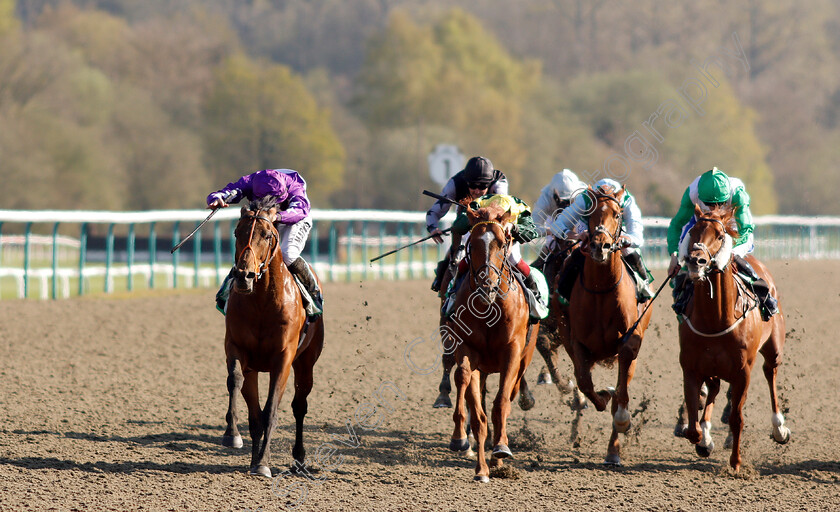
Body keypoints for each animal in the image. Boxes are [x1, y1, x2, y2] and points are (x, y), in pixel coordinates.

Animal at [220, 198, 324, 478]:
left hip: (306, 363)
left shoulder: (283, 359)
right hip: (256, 368)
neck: (262, 302)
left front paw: (264, 463)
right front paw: (232, 436)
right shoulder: (237, 348)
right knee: (255, 411)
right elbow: (235, 382)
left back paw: (298, 458)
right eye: (237, 232)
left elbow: (271, 412)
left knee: (299, 406)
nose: (243, 276)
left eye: (267, 235)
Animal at [450, 203, 536, 480]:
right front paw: (480, 468)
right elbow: (477, 411)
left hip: (524, 360)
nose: (486, 285)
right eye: (474, 243)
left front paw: (500, 449)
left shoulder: (512, 353)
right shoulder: (468, 349)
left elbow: (501, 405)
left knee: (510, 395)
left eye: (501, 242)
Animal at [560, 186, 652, 466]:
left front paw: (621, 419)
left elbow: (621, 394)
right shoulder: (577, 343)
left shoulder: (629, 343)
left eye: (617, 213)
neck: (601, 290)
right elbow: (585, 383)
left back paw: (613, 451)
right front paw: (603, 395)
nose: (601, 245)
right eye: (588, 214)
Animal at [680, 205, 792, 472]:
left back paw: (779, 428)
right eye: (692, 231)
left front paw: (736, 462)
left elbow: (736, 417)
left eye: (720, 235)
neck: (715, 319)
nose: (696, 261)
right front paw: (703, 440)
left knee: (770, 375)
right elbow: (692, 426)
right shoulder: (691, 368)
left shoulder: (743, 371)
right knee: (714, 388)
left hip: (773, 350)